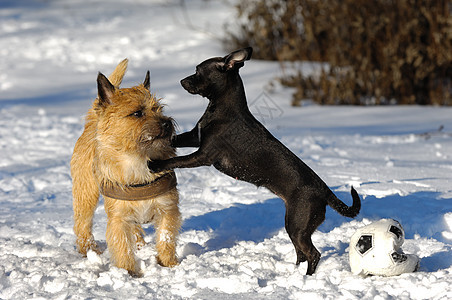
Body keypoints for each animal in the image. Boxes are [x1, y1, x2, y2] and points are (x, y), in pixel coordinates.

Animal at [70, 59, 180, 276]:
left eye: (159, 109)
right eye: (137, 113)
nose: (166, 123)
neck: (138, 159)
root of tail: (93, 122)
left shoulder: (167, 208)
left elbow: (166, 237)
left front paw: (169, 264)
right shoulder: (118, 218)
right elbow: (121, 246)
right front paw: (128, 272)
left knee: (136, 230)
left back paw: (140, 245)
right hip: (86, 193)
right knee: (82, 224)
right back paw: (89, 250)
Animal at [148, 47, 360, 274]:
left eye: (198, 71)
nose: (181, 81)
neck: (222, 108)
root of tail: (324, 190)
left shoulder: (203, 155)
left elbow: (176, 160)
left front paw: (156, 164)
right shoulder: (194, 137)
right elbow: (174, 140)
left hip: (298, 224)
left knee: (313, 254)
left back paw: (306, 277)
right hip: (293, 225)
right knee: (301, 253)